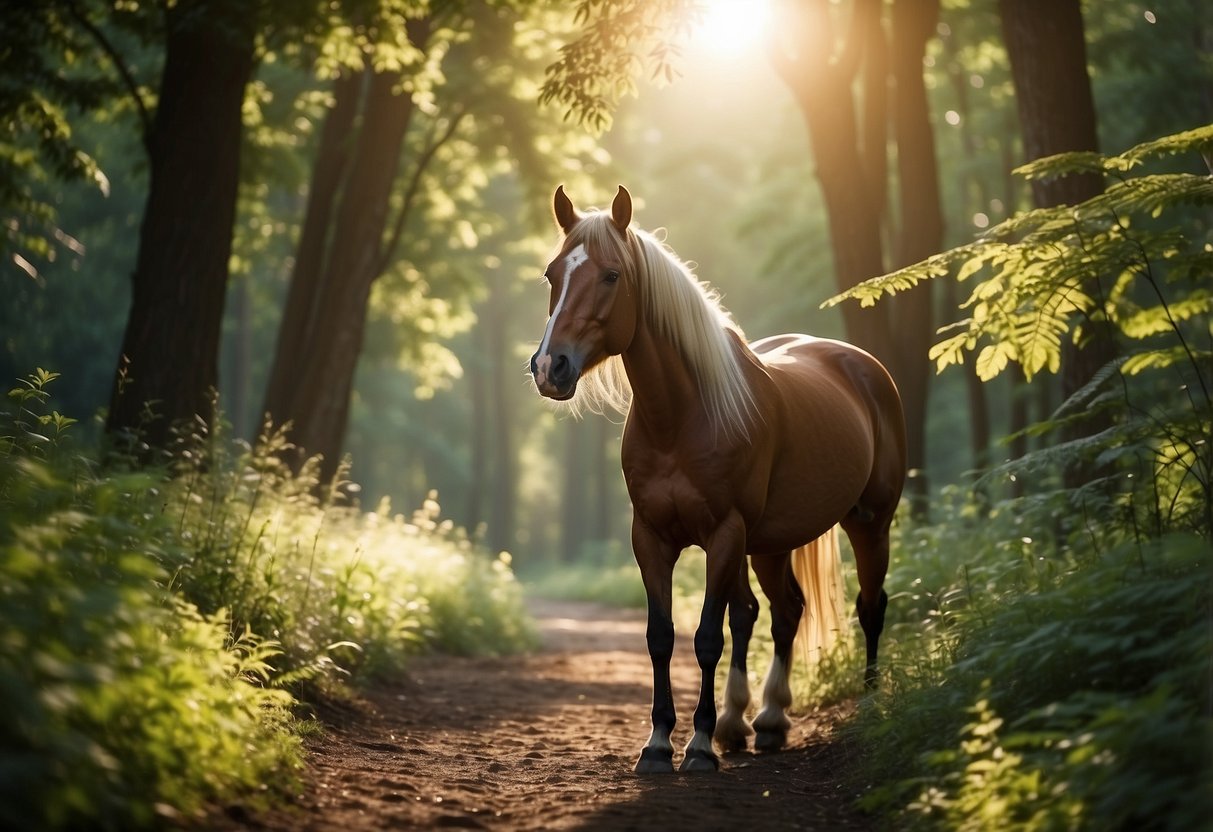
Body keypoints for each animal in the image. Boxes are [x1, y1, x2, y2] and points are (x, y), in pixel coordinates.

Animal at [526, 184, 907, 776]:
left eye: (611, 275)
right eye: (551, 274)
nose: (551, 368)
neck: (682, 418)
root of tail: (862, 366)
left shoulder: (724, 534)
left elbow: (707, 637)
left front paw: (700, 746)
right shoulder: (652, 538)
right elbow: (662, 637)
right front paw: (659, 742)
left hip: (869, 523)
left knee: (869, 606)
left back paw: (862, 707)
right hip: (770, 543)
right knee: (781, 612)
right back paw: (762, 720)